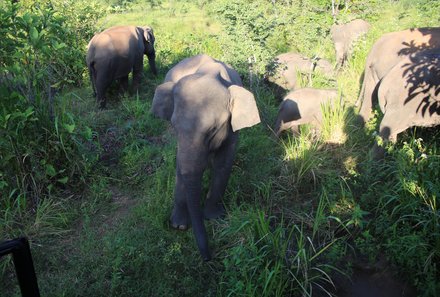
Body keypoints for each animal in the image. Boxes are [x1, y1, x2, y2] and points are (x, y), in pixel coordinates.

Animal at [151, 53, 262, 260]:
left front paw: (213, 218)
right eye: (174, 125)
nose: (209, 258)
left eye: (213, 129)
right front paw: (179, 226)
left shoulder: (233, 129)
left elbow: (223, 163)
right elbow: (180, 165)